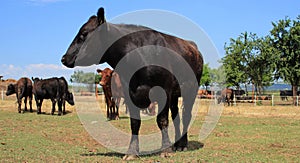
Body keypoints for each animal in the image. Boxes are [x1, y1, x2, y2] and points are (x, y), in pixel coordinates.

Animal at [59, 7, 203, 159]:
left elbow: (162, 120)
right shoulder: (130, 94)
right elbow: (135, 123)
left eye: (84, 34)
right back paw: (176, 143)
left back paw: (182, 144)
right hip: (175, 95)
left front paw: (165, 149)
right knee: (176, 115)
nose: (64, 58)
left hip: (191, 90)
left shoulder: (163, 91)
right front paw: (132, 152)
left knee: (186, 115)